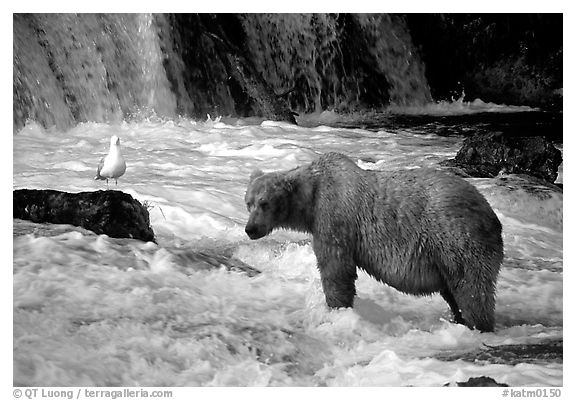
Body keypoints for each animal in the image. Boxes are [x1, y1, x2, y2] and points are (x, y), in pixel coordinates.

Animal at [245, 153, 502, 332]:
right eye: (248, 202)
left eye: (264, 203)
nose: (250, 229)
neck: (310, 199)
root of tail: (489, 211)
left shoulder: (334, 218)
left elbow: (335, 268)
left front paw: (336, 309)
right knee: (454, 291)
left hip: (457, 239)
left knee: (472, 289)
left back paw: (479, 324)